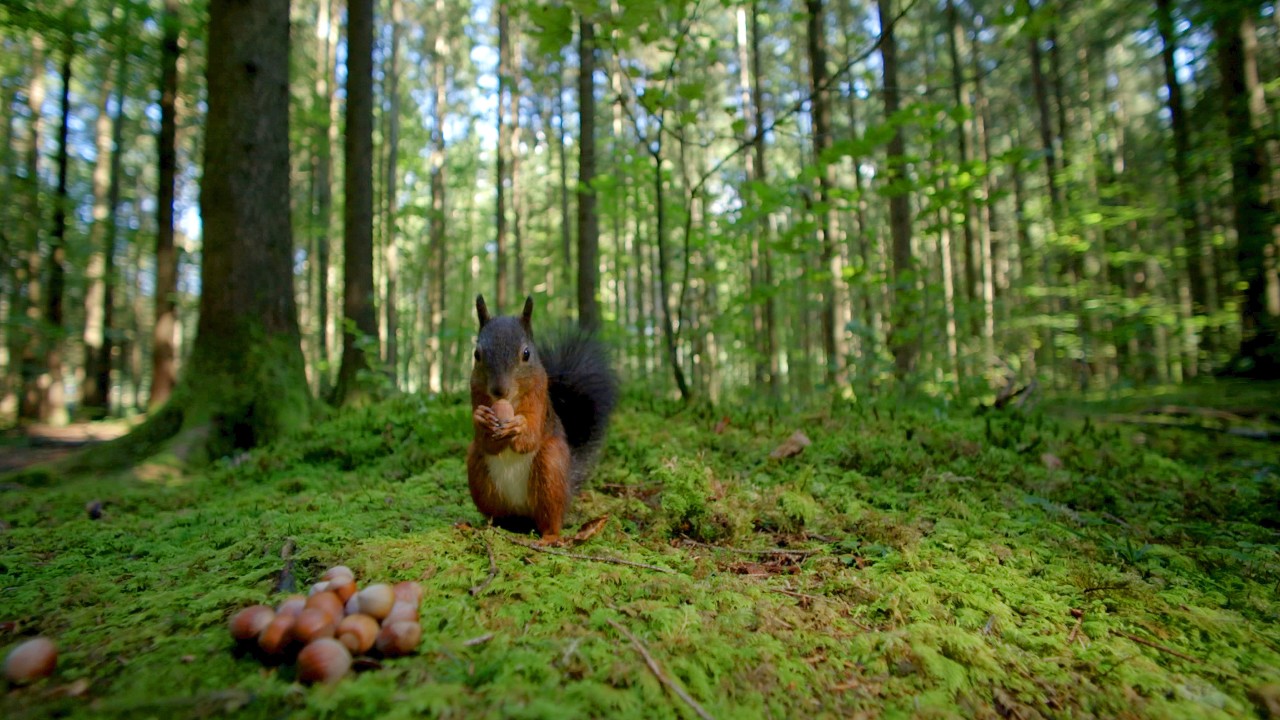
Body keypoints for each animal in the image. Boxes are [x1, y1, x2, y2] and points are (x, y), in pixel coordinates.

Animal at [468, 294, 616, 540]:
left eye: (526, 354)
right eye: (476, 354)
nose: (499, 390)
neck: (510, 402)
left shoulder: (539, 400)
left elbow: (530, 438)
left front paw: (518, 426)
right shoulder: (476, 393)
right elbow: (488, 444)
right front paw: (481, 418)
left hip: (550, 469)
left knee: (551, 519)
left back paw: (549, 538)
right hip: (477, 470)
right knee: (496, 515)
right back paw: (482, 527)